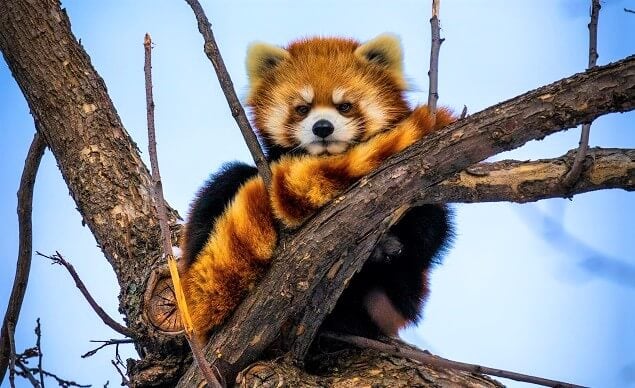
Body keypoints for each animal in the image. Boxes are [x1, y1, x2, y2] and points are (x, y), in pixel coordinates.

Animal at [179, 34, 458, 342]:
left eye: (345, 106)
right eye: (302, 108)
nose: (322, 127)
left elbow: (432, 231)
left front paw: (391, 242)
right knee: (226, 182)